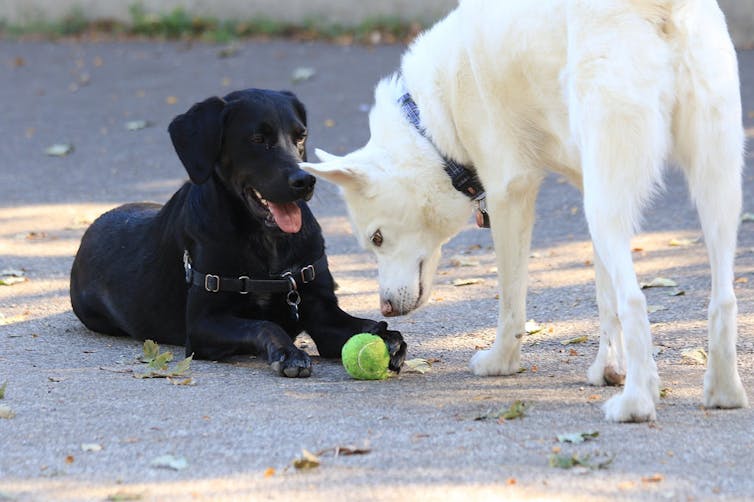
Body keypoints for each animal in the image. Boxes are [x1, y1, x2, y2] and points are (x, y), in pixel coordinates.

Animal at [70, 87, 406, 376]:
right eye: (258, 138)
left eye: (301, 136)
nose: (305, 181)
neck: (269, 242)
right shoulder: (203, 325)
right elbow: (263, 325)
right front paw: (288, 353)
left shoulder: (322, 311)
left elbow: (365, 325)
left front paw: (388, 338)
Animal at [304, 0, 748, 422]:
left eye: (377, 238)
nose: (383, 310)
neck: (431, 124)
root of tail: (660, 9)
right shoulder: (586, 183)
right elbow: (604, 298)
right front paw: (608, 369)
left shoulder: (510, 194)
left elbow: (511, 303)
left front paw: (501, 362)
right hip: (713, 183)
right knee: (722, 298)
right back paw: (723, 392)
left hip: (607, 204)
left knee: (636, 301)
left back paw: (636, 403)